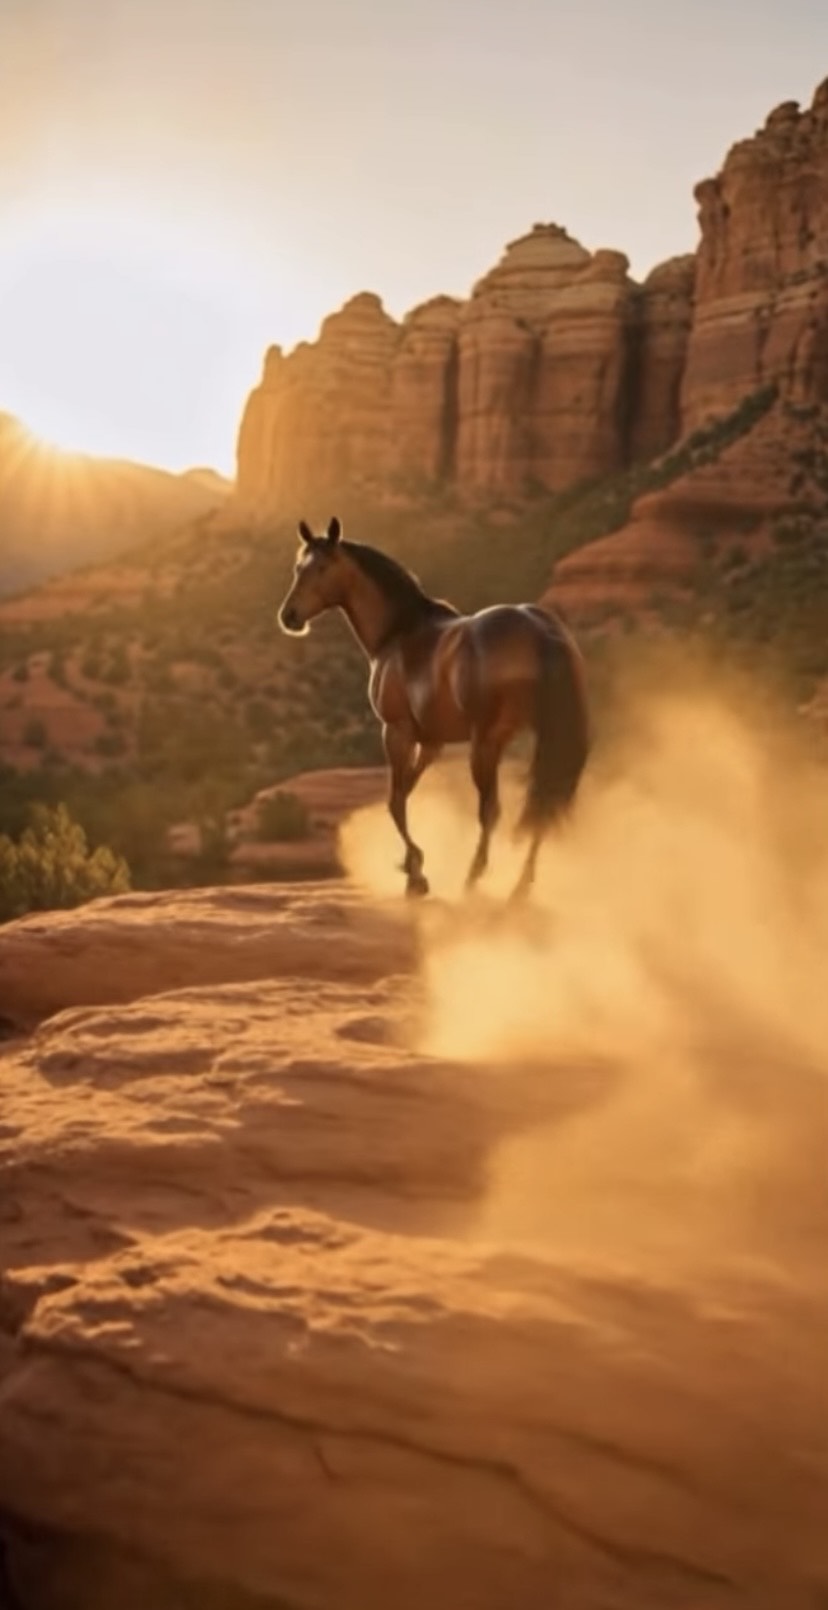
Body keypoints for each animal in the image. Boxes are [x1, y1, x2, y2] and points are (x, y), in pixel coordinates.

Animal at [278, 516, 590, 901]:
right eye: (298, 567)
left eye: (321, 568)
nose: (289, 616)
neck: (399, 631)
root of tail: (540, 631)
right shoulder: (431, 742)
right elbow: (405, 793)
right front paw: (411, 867)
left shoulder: (396, 732)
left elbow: (395, 801)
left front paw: (417, 876)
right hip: (540, 738)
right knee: (543, 803)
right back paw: (520, 888)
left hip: (486, 744)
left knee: (492, 810)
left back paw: (474, 879)